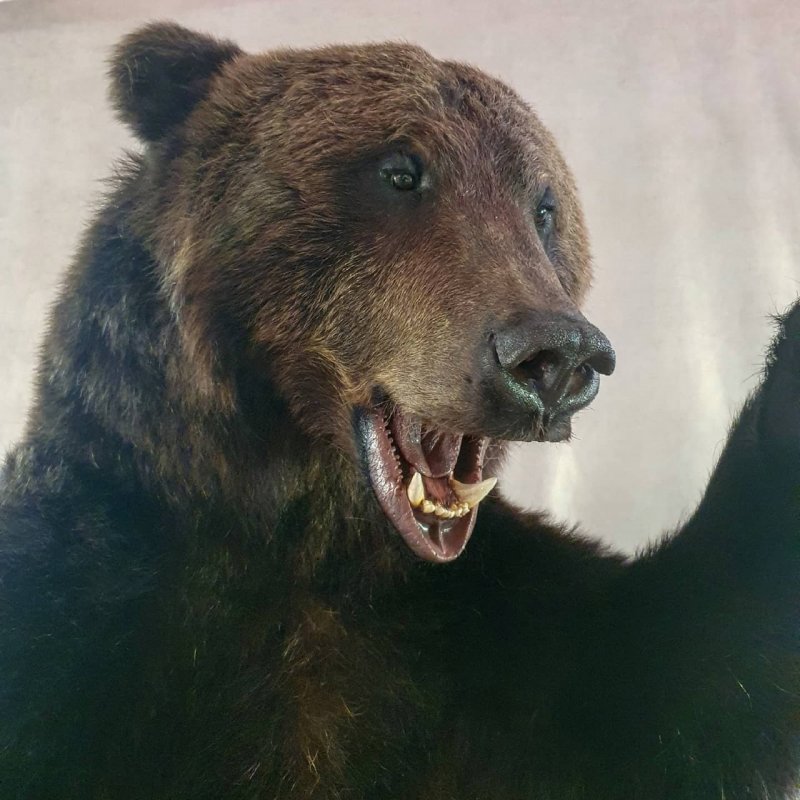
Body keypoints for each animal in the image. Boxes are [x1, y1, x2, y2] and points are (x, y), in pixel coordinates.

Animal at [1, 19, 800, 800]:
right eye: (400, 173)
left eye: (544, 207)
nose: (557, 356)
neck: (304, 540)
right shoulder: (92, 595)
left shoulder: (481, 630)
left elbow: (678, 672)